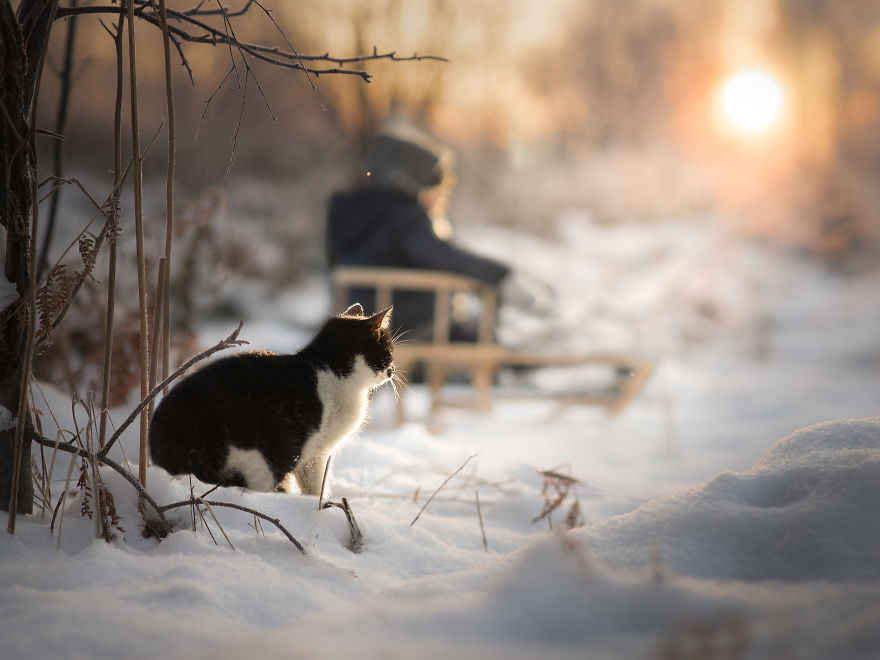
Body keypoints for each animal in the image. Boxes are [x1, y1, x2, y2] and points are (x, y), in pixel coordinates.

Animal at [149, 304, 396, 496]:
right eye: (388, 353)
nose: (393, 370)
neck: (329, 370)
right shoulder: (312, 449)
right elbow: (317, 486)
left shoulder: (311, 456)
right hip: (259, 455)